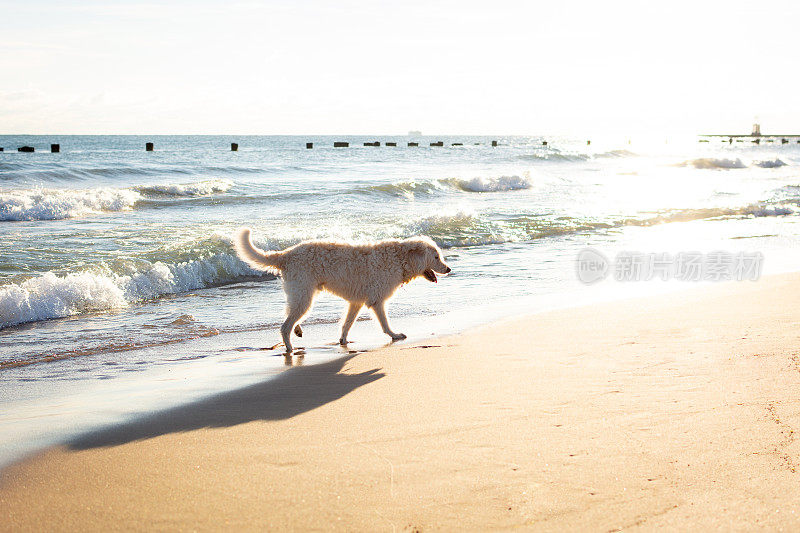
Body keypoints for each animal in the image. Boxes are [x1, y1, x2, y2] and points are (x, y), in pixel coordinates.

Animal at [234, 227, 454, 352]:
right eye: (436, 257)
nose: (449, 269)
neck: (399, 259)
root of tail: (286, 254)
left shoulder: (355, 302)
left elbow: (347, 324)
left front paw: (343, 341)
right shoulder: (377, 301)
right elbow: (384, 324)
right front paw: (394, 335)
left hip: (299, 294)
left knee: (288, 315)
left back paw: (297, 331)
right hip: (304, 296)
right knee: (284, 326)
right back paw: (289, 348)